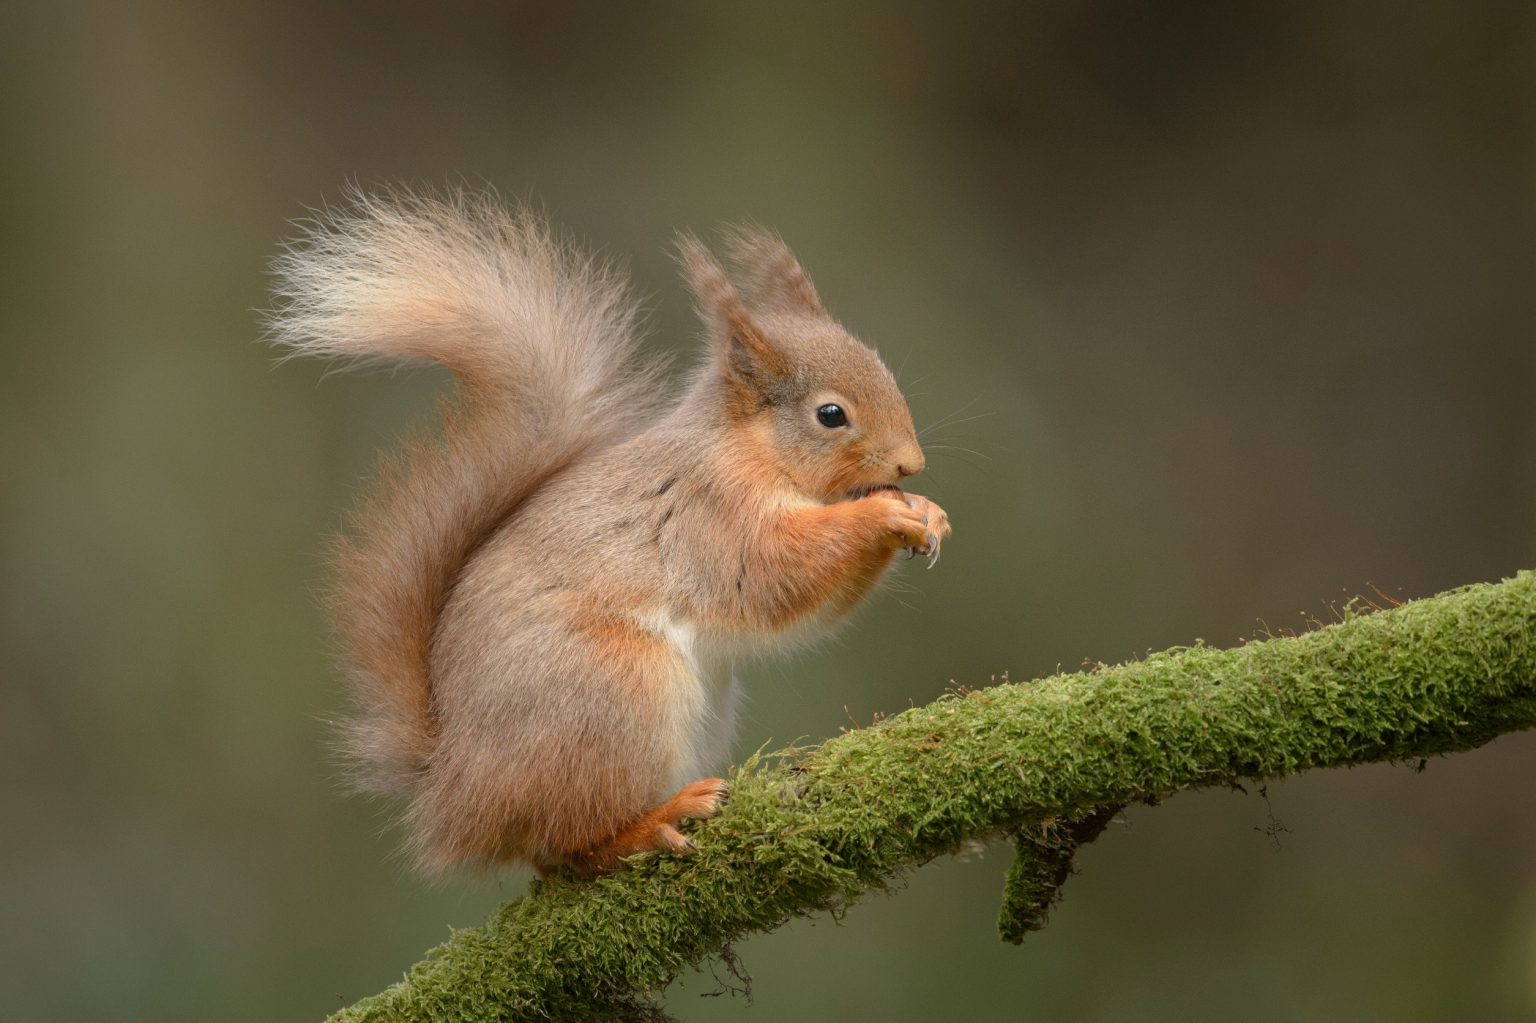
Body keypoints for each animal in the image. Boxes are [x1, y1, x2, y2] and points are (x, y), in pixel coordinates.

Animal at [269, 188, 951, 875]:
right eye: (830, 415)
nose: (911, 464)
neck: (750, 450)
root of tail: (453, 793)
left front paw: (926, 511)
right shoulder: (711, 516)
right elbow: (774, 576)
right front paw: (880, 515)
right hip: (616, 693)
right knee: (576, 845)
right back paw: (654, 824)